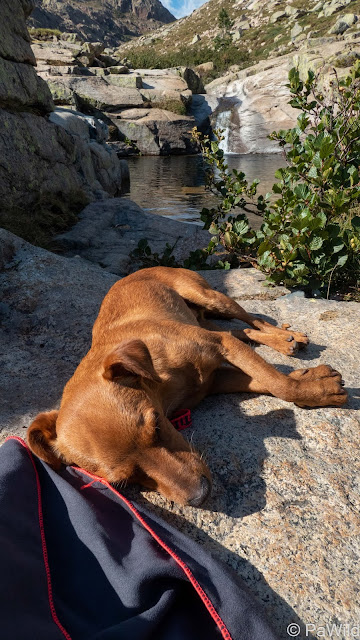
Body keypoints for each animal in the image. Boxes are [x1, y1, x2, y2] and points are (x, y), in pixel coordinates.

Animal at [26, 264, 348, 504]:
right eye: (123, 482)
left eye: (157, 426)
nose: (201, 496)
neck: (164, 386)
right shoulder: (216, 379)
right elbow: (269, 381)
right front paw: (312, 381)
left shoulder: (221, 347)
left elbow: (279, 384)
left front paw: (315, 388)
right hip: (205, 318)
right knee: (243, 330)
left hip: (210, 296)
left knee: (252, 321)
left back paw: (287, 338)